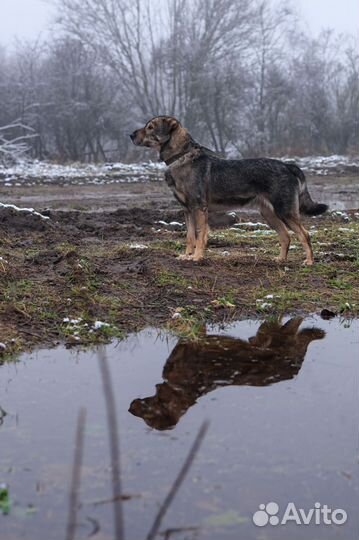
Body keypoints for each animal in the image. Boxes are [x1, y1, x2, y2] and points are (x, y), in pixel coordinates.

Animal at [130, 116, 330, 264]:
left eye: (150, 127)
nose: (130, 134)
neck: (181, 156)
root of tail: (288, 166)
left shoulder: (199, 208)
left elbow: (200, 236)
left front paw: (197, 257)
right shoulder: (187, 210)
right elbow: (189, 236)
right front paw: (187, 256)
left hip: (285, 212)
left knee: (305, 235)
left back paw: (309, 261)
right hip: (269, 214)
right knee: (286, 237)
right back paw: (280, 259)